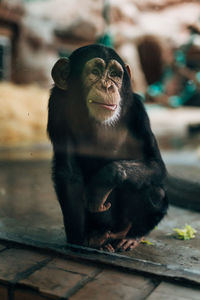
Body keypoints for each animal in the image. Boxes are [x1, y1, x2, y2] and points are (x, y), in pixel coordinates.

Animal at [47, 43, 168, 252]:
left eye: (114, 74)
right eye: (95, 72)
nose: (107, 85)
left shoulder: (138, 110)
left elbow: (156, 164)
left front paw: (105, 180)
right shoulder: (57, 105)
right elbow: (69, 173)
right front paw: (77, 241)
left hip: (124, 223)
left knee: (156, 192)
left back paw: (132, 236)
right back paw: (98, 238)